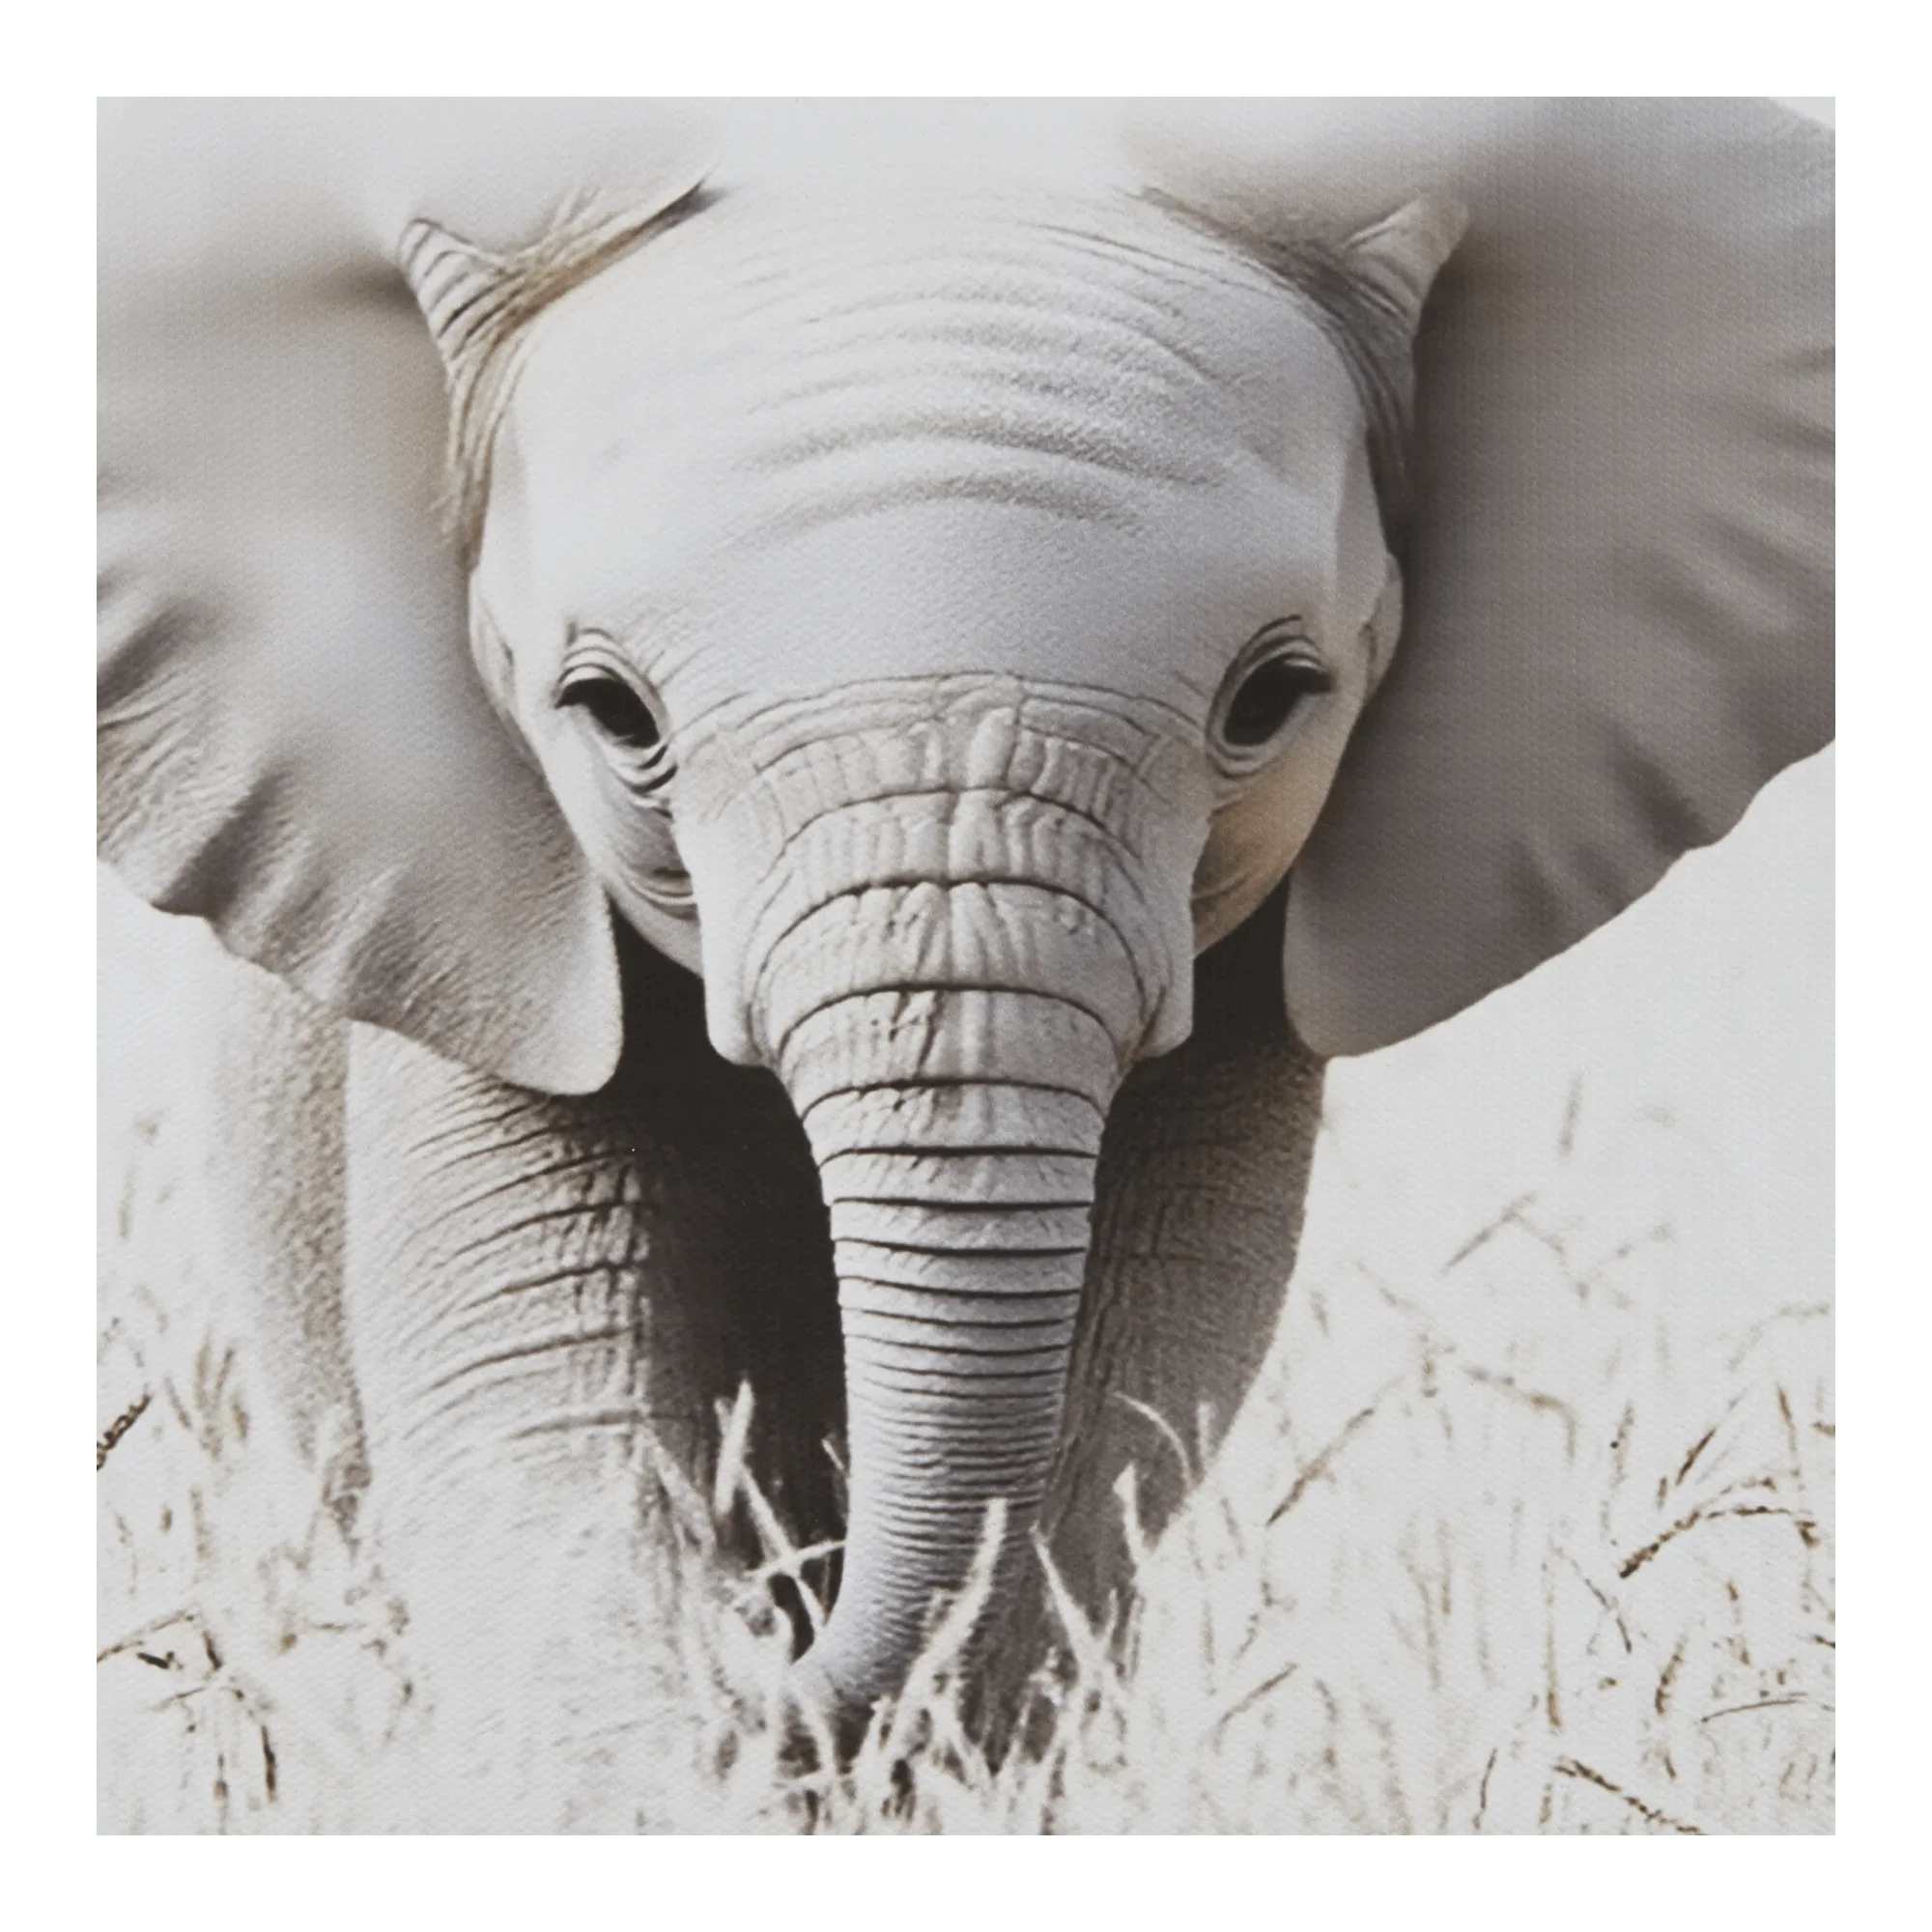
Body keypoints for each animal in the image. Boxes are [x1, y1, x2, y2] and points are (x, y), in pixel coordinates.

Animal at [94, 96, 1835, 1800]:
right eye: (609, 713)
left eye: (1274, 700)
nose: (775, 1663)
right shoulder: (488, 923)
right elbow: (542, 1389)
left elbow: (1122, 1402)